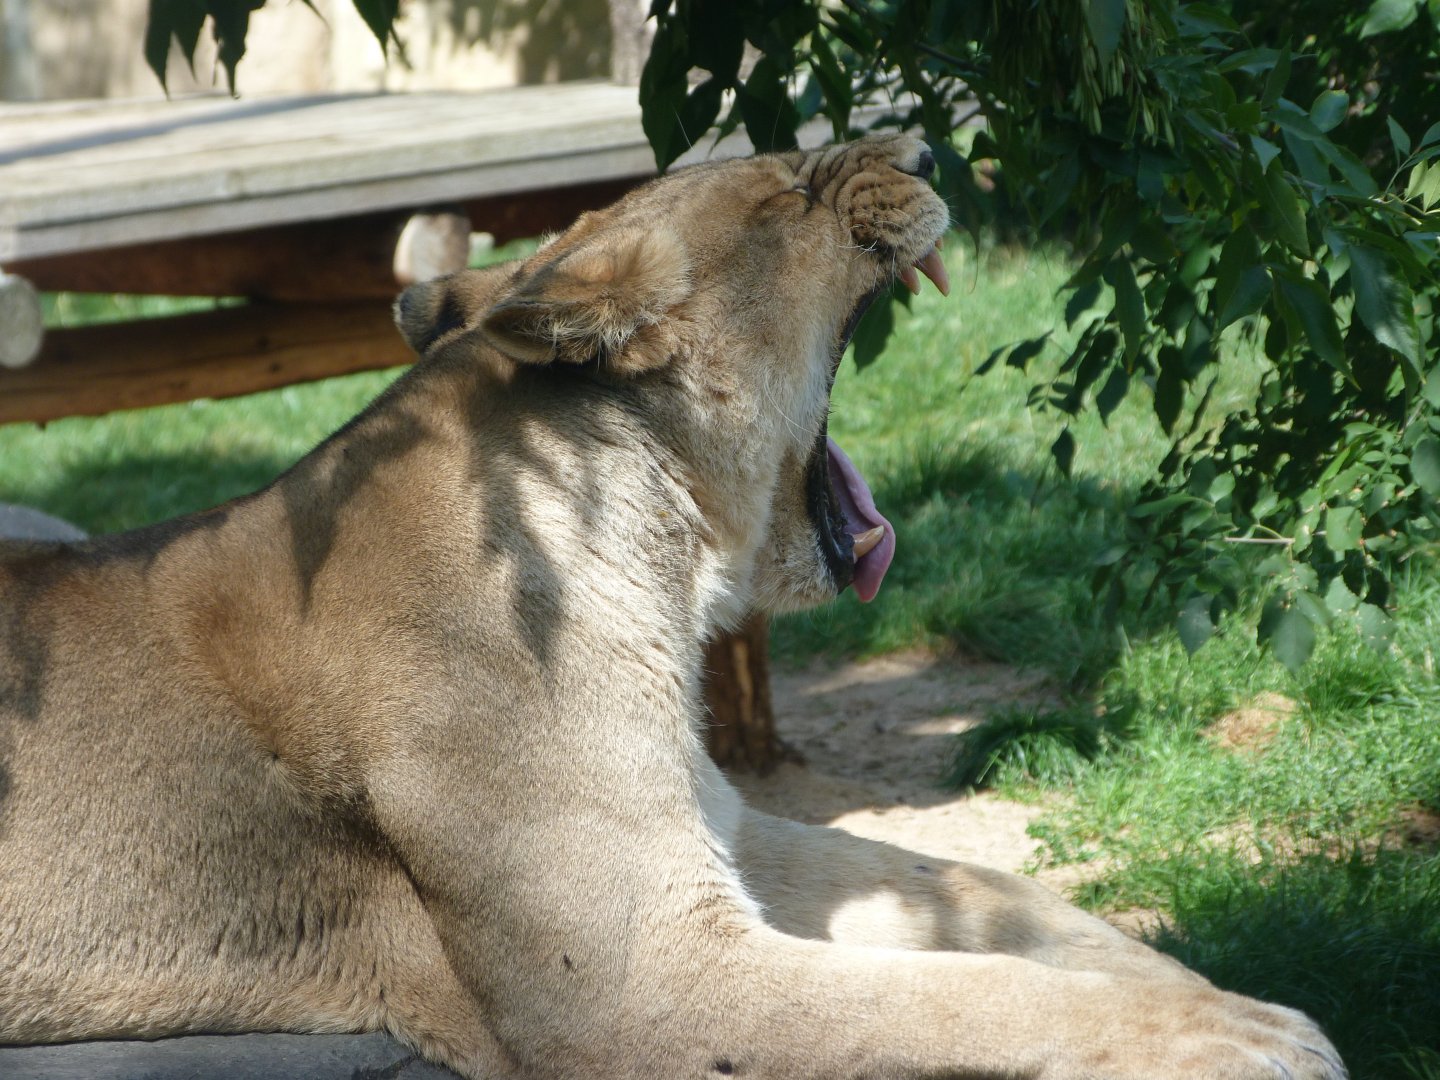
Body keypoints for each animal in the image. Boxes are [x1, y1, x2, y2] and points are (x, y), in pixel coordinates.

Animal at [0, 135, 1345, 1079]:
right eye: (792, 187)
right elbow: (961, 993)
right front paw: (1248, 1039)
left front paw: (1201, 991)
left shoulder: (725, 831)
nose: (922, 155)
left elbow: (1005, 901)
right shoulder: (642, 986)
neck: (658, 559)